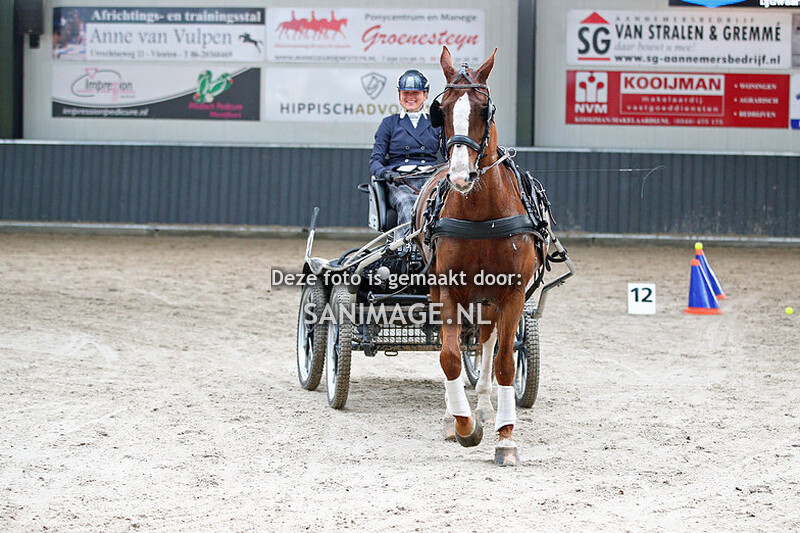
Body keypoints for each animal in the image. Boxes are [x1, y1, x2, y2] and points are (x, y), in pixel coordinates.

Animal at [414, 46, 547, 466]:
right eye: (441, 109)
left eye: (483, 107)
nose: (460, 175)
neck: (482, 214)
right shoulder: (448, 290)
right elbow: (449, 357)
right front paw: (462, 425)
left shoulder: (513, 293)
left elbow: (505, 362)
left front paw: (505, 438)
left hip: (490, 298)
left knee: (487, 342)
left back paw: (487, 406)